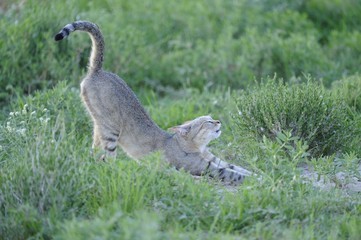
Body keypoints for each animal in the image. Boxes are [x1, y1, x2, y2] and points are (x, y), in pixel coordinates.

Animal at [54, 21, 250, 185]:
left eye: (212, 118)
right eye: (207, 122)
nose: (218, 121)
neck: (197, 147)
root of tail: (97, 70)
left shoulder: (214, 159)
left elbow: (238, 167)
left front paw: (255, 173)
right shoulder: (206, 167)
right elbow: (233, 173)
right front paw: (255, 180)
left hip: (100, 127)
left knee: (95, 152)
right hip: (111, 130)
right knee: (108, 159)